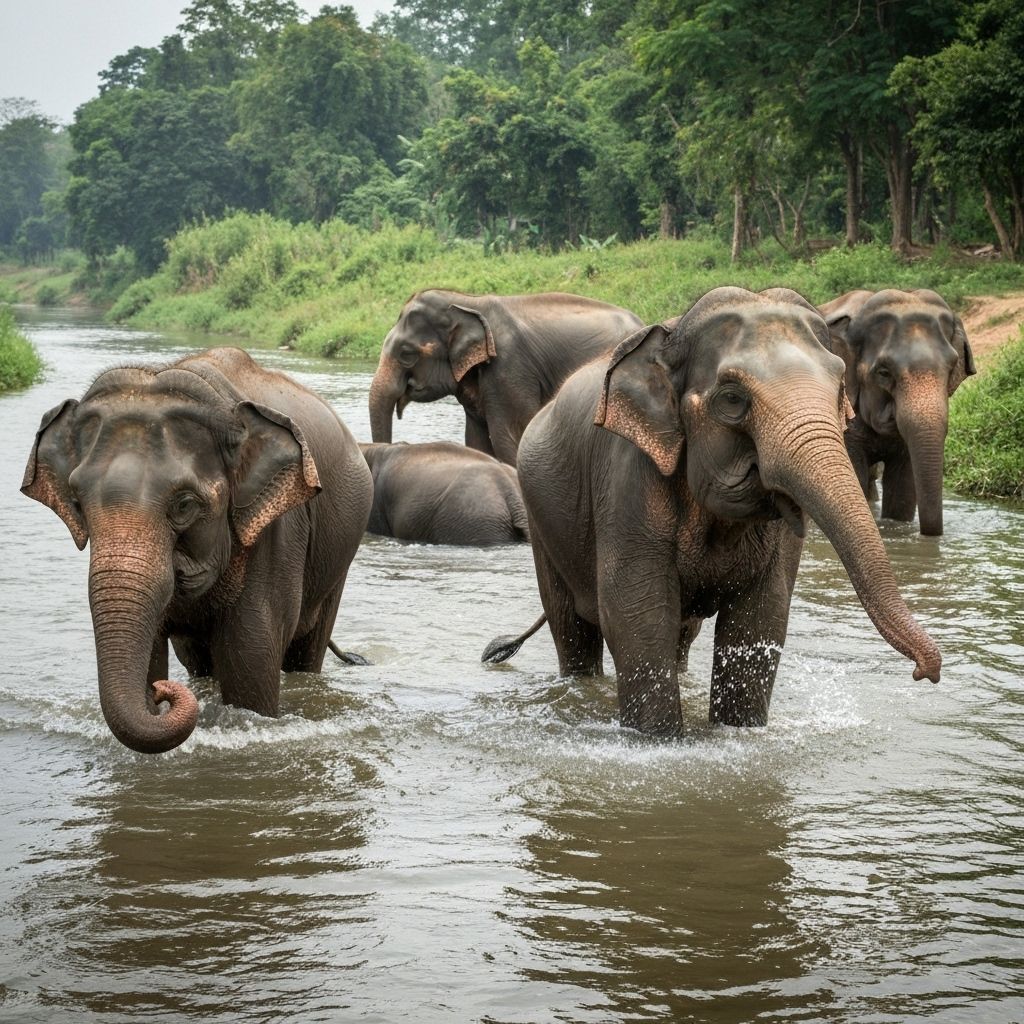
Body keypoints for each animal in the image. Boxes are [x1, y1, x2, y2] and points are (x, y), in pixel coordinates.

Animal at [21, 347, 373, 755]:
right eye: (77, 501)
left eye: (185, 505)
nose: (162, 692)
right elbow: (154, 650)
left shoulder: (277, 532)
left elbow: (251, 658)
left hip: (338, 560)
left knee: (306, 652)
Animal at [368, 289, 644, 464]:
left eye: (406, 354)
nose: (400, 445)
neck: (466, 301)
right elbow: (476, 441)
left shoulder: (510, 369)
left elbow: (509, 438)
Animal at [485, 287, 941, 736]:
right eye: (733, 400)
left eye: (840, 386)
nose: (926, 672)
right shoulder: (627, 476)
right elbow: (637, 613)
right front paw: (659, 742)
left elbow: (760, 617)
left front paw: (737, 733)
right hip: (542, 519)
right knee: (572, 631)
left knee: (681, 634)